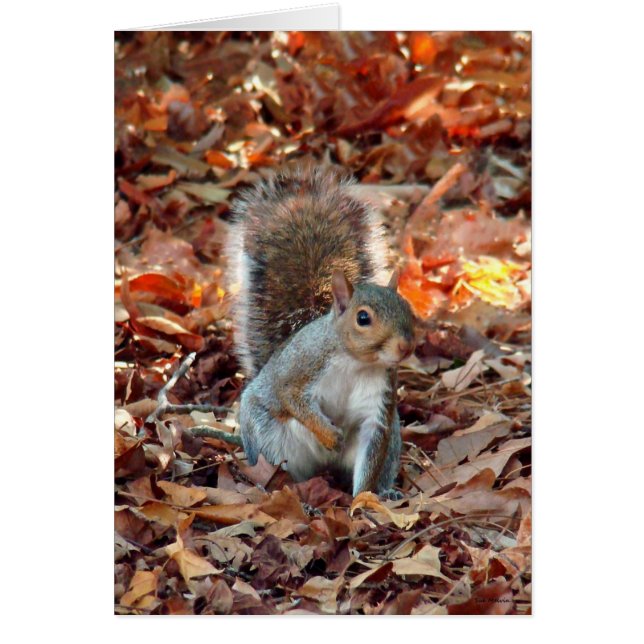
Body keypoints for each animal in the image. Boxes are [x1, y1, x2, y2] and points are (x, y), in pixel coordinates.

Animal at [226, 165, 415, 498]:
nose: (405, 347)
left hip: (393, 438)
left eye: (407, 308)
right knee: (280, 469)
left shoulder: (378, 409)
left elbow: (370, 457)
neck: (355, 363)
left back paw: (386, 492)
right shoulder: (301, 367)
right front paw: (329, 435)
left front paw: (363, 501)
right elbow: (292, 398)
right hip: (267, 436)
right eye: (363, 318)